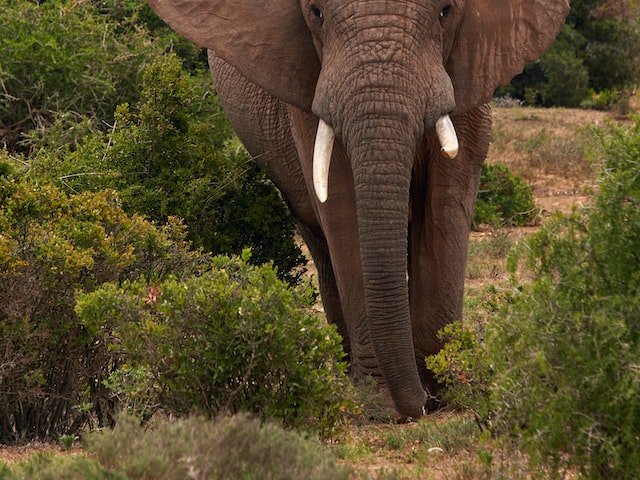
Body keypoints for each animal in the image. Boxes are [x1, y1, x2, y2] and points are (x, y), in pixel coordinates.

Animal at [146, 0, 568, 418]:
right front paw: (382, 402)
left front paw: (449, 387)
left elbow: (447, 195)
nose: (420, 405)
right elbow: (340, 199)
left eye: (446, 12)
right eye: (315, 13)